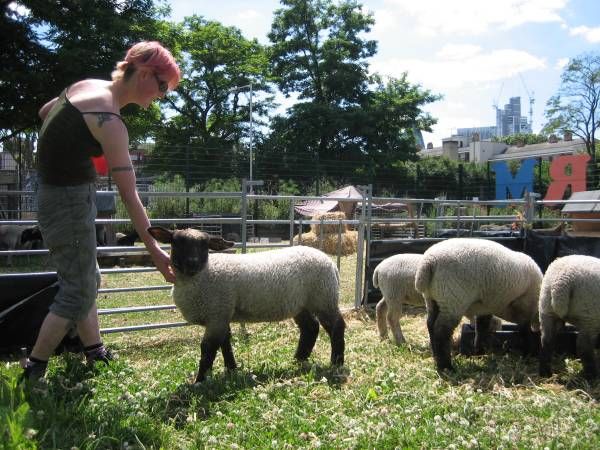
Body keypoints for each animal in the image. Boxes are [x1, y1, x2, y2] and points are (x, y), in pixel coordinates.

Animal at [146, 227, 346, 382]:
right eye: (177, 242)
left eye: (205, 245)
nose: (192, 263)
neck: (201, 276)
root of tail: (331, 263)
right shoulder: (222, 314)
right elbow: (225, 342)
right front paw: (231, 369)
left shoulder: (216, 314)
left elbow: (208, 348)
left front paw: (200, 380)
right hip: (300, 304)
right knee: (310, 328)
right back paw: (298, 359)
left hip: (323, 297)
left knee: (336, 326)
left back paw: (336, 363)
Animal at [414, 239, 540, 372]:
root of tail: (428, 263)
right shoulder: (525, 305)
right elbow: (524, 330)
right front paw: (528, 352)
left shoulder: (486, 307)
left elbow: (482, 328)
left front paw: (479, 351)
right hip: (453, 298)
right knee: (441, 331)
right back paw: (446, 367)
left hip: (432, 298)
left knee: (430, 324)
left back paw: (435, 356)